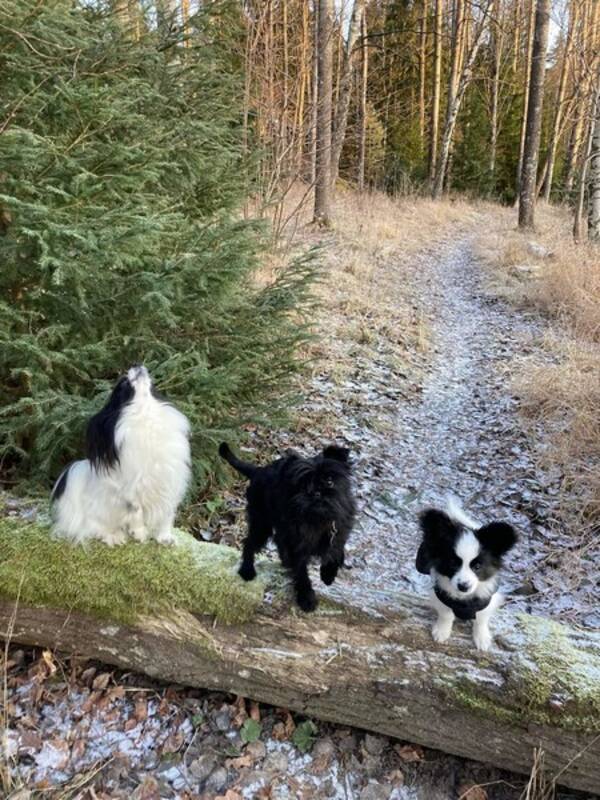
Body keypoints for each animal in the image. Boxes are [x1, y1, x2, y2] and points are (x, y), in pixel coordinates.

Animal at [53, 366, 191, 548]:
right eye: (125, 383)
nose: (138, 366)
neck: (145, 413)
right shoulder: (132, 488)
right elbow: (136, 510)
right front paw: (139, 533)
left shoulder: (170, 482)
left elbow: (167, 514)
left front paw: (164, 537)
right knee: (91, 527)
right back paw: (113, 535)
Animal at [218, 444, 354, 612]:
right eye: (303, 485)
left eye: (329, 481)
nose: (316, 493)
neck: (318, 520)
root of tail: (259, 471)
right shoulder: (296, 545)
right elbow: (301, 572)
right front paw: (306, 596)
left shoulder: (338, 531)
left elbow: (336, 550)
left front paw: (328, 573)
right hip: (262, 524)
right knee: (249, 543)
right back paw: (247, 570)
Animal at [418, 500, 516, 648]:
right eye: (453, 564)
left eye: (477, 566)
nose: (463, 586)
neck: (464, 600)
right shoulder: (441, 596)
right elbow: (446, 614)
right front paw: (442, 630)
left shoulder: (486, 600)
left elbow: (481, 618)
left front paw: (481, 637)